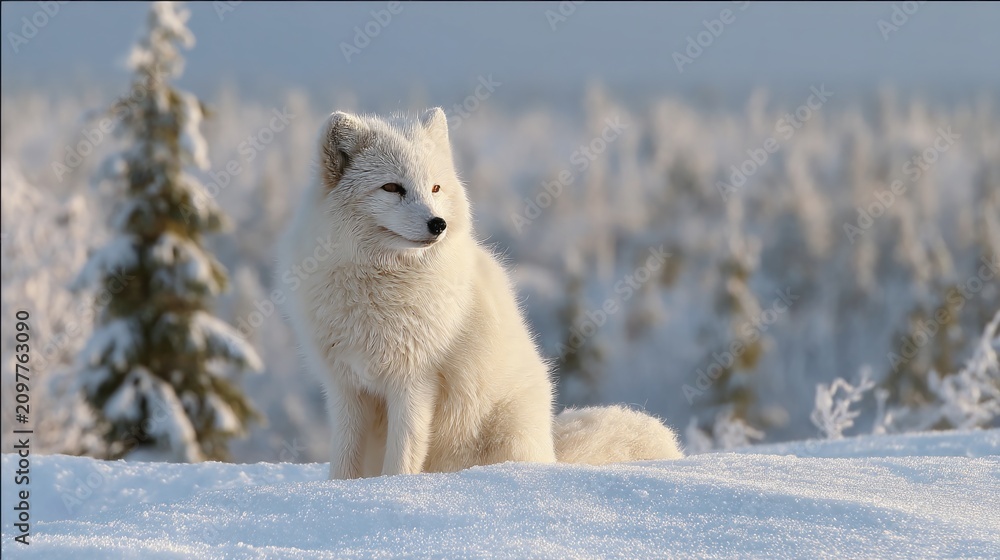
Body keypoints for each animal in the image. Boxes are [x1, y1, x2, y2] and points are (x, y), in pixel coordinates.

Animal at [280, 108, 682, 479]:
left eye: (435, 188)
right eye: (392, 188)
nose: (438, 224)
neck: (379, 283)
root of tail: (550, 451)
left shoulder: (415, 381)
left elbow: (402, 456)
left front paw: (393, 488)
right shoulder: (346, 388)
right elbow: (344, 460)